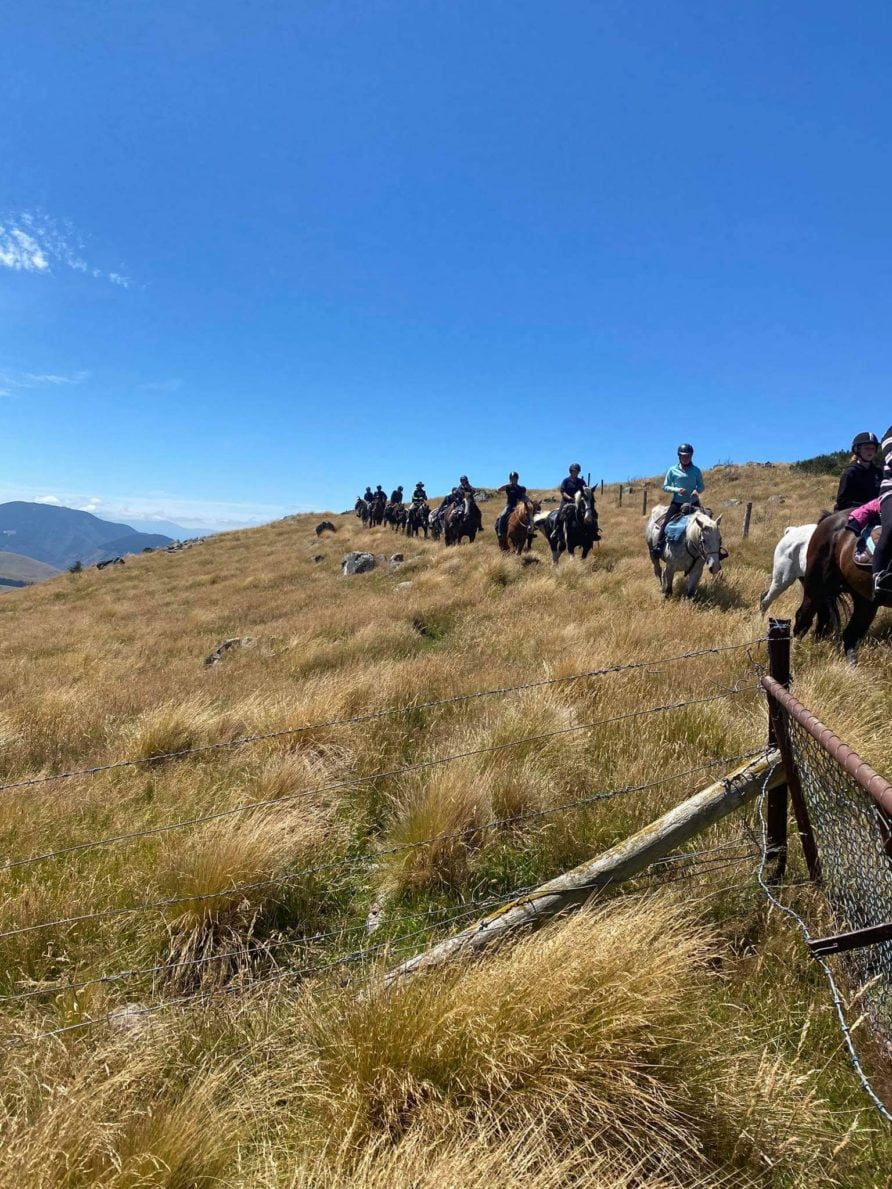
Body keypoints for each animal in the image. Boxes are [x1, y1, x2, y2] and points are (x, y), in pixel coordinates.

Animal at [794, 506, 889, 665]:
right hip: (815, 588)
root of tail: (829, 518)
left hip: (864, 599)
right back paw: (795, 653)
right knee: (803, 618)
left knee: (849, 634)